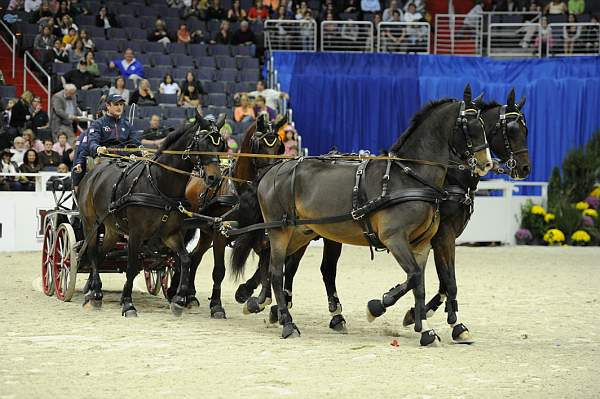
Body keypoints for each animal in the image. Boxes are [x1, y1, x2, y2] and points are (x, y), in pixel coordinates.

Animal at [79, 114, 227, 318]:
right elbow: (132, 267)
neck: (159, 184)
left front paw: (179, 300)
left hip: (111, 229)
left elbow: (185, 260)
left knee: (101, 254)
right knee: (93, 254)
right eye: (202, 144)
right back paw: (94, 292)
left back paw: (94, 290)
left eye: (221, 146)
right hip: (91, 224)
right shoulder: (136, 234)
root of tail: (93, 173)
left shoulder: (171, 234)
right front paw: (128, 304)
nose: (215, 178)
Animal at [168, 113, 288, 318]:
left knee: (195, 256)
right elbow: (219, 271)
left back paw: (190, 295)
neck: (240, 192)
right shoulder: (220, 235)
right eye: (260, 145)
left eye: (279, 146)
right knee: (182, 253)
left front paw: (251, 296)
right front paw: (216, 306)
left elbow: (266, 267)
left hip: (206, 232)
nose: (272, 175)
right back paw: (176, 291)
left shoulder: (259, 235)